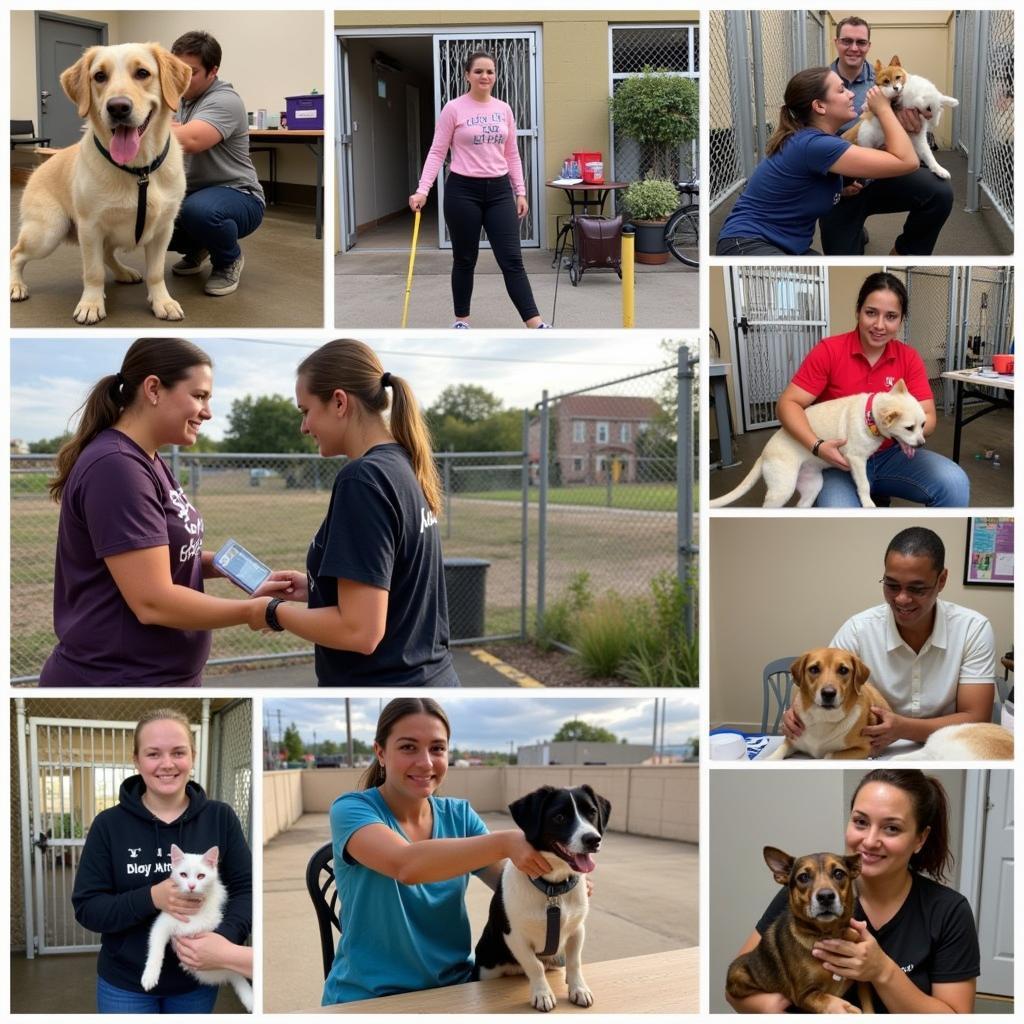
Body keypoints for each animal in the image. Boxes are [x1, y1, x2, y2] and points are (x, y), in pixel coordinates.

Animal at [9, 41, 192, 321]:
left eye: (142, 73)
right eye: (99, 76)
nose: (118, 107)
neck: (138, 169)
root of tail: (37, 168)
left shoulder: (164, 229)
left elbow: (155, 272)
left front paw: (162, 301)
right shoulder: (90, 227)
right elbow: (93, 272)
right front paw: (91, 304)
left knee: (107, 254)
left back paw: (124, 272)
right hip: (48, 232)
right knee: (15, 253)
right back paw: (16, 285)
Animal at [141, 847, 252, 1007]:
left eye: (201, 876)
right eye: (183, 875)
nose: (191, 886)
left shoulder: (211, 921)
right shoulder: (162, 924)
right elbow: (156, 950)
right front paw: (150, 975)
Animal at [475, 786, 610, 1011]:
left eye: (592, 812)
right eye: (559, 817)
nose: (593, 839)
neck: (553, 889)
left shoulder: (577, 930)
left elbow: (574, 962)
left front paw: (578, 988)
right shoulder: (514, 936)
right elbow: (534, 965)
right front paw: (542, 993)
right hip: (488, 966)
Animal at [712, 380, 929, 507]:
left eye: (923, 425)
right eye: (909, 428)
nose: (921, 444)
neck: (869, 417)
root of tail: (763, 454)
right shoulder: (856, 460)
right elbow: (864, 485)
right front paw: (868, 504)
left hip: (812, 487)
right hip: (781, 490)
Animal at [724, 847, 868, 1015]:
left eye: (838, 873)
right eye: (803, 877)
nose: (826, 896)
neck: (828, 934)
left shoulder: (862, 980)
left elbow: (868, 1005)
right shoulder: (804, 995)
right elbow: (827, 1000)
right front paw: (847, 1009)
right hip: (738, 975)